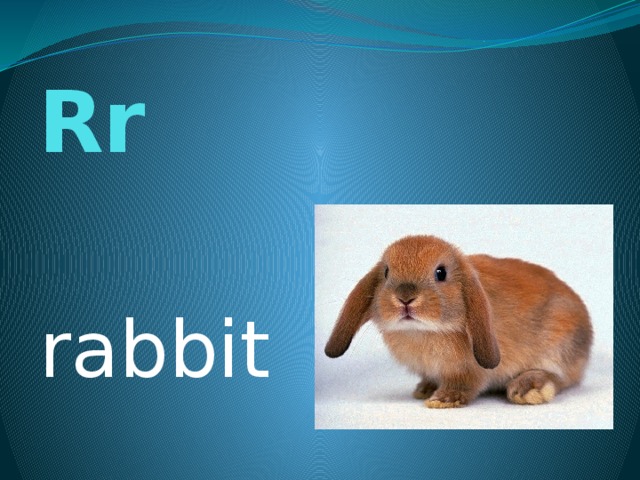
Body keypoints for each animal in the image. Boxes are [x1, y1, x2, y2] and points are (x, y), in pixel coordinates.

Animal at [325, 235, 592, 408]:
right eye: (387, 272)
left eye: (440, 273)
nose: (405, 298)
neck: (424, 331)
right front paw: (425, 390)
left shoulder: (469, 371)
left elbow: (465, 384)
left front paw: (442, 400)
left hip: (559, 346)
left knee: (560, 377)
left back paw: (527, 389)